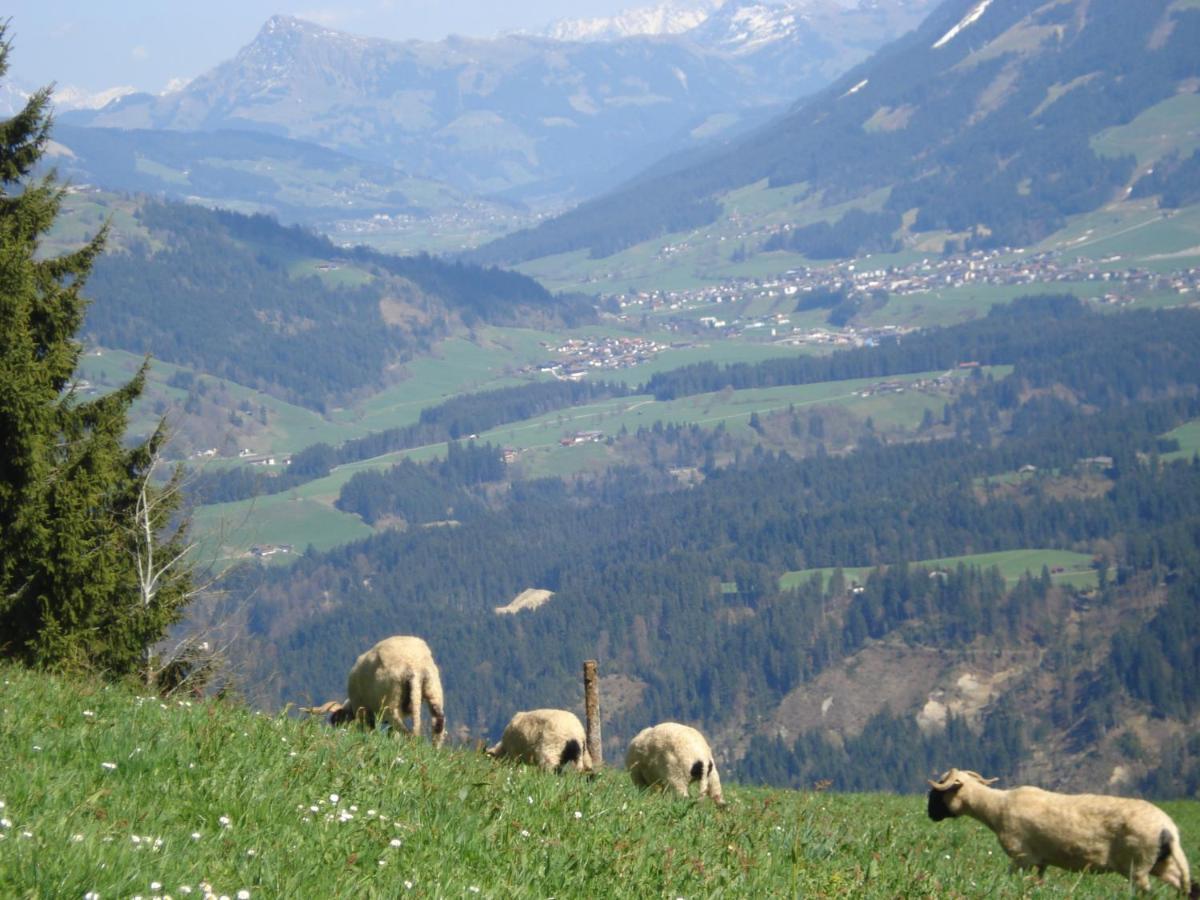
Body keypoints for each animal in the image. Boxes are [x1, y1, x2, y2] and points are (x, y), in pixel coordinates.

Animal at [304, 633, 446, 748]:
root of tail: (413, 664)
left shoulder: (362, 711)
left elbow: (369, 731)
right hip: (433, 688)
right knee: (437, 724)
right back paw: (435, 751)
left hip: (391, 702)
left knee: (406, 732)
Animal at [926, 768, 1190, 897]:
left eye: (938, 793)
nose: (930, 815)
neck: (995, 806)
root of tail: (1168, 828)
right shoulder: (1040, 860)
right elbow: (1037, 882)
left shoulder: (1021, 857)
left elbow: (1010, 878)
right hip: (1161, 863)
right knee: (1183, 885)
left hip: (1138, 866)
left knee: (1148, 893)